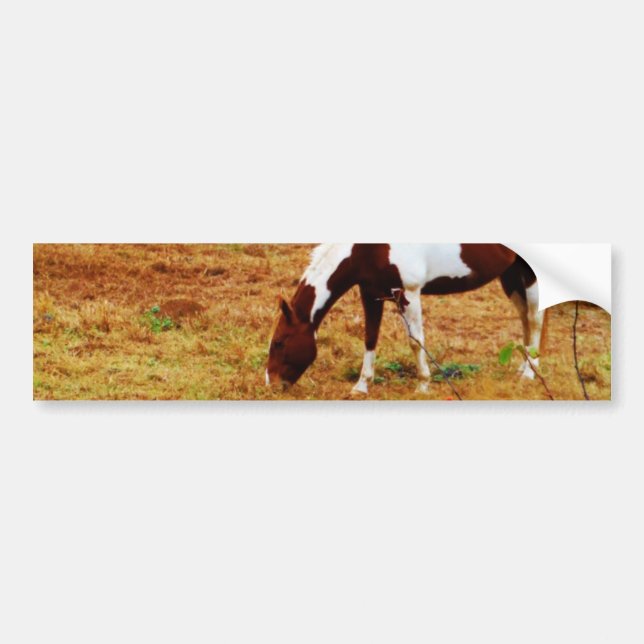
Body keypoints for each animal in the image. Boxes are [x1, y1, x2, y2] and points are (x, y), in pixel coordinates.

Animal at [266, 244, 544, 395]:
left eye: (280, 342)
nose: (271, 384)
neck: (367, 249)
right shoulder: (370, 294)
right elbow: (370, 338)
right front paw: (361, 386)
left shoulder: (408, 293)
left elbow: (415, 341)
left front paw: (423, 385)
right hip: (510, 276)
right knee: (525, 319)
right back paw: (524, 368)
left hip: (529, 276)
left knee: (535, 319)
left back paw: (530, 374)